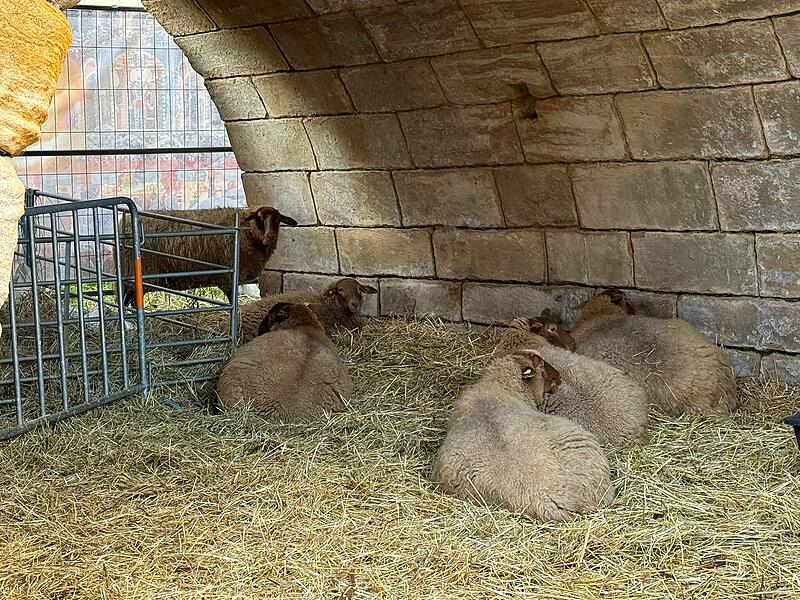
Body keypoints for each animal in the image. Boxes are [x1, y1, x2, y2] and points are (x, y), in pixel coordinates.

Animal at [121, 205, 297, 305]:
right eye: (259, 218)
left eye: (278, 220)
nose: (270, 237)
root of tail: (125, 222)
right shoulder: (228, 278)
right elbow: (232, 300)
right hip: (136, 275)